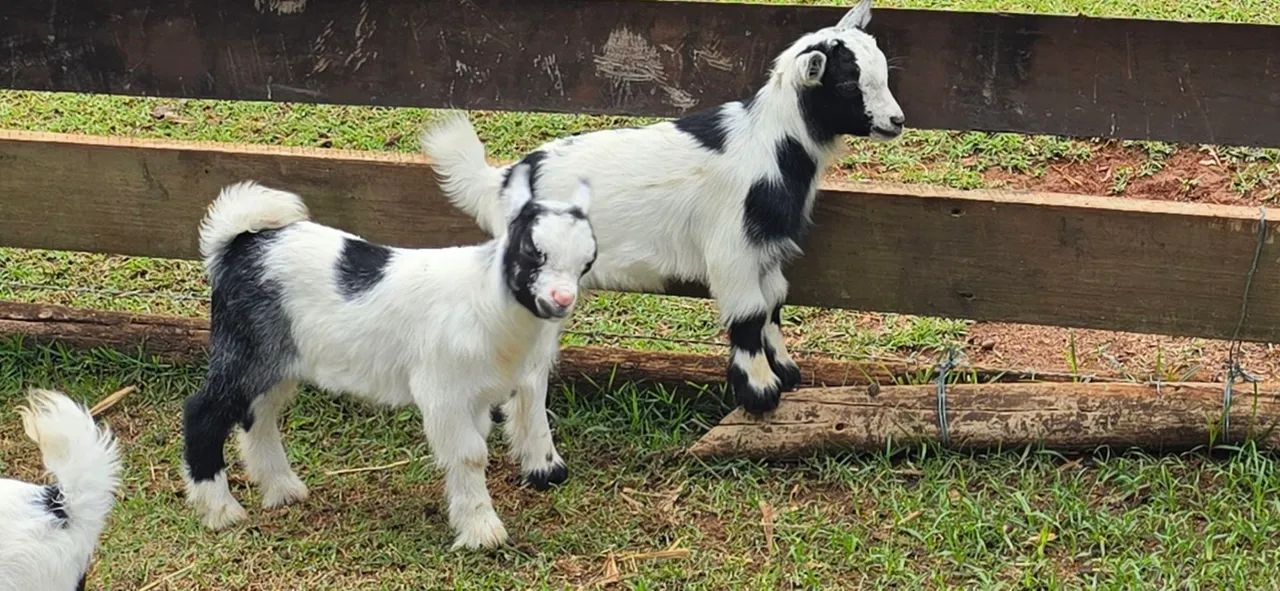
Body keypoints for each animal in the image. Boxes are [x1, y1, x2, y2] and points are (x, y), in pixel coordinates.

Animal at [181, 165, 596, 549]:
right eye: (532, 251)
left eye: (587, 262)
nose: (562, 299)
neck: (487, 300)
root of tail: (237, 246)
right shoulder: (443, 390)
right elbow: (469, 454)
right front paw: (483, 532)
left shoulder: (476, 396)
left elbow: (471, 450)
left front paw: (468, 517)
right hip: (244, 349)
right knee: (204, 413)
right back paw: (220, 509)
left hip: (276, 361)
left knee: (258, 416)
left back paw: (283, 489)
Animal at [422, 0, 904, 415]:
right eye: (847, 83)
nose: (896, 121)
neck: (771, 144)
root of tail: (503, 180)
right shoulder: (732, 247)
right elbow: (748, 316)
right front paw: (760, 393)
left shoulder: (766, 247)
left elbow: (773, 306)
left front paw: (786, 372)